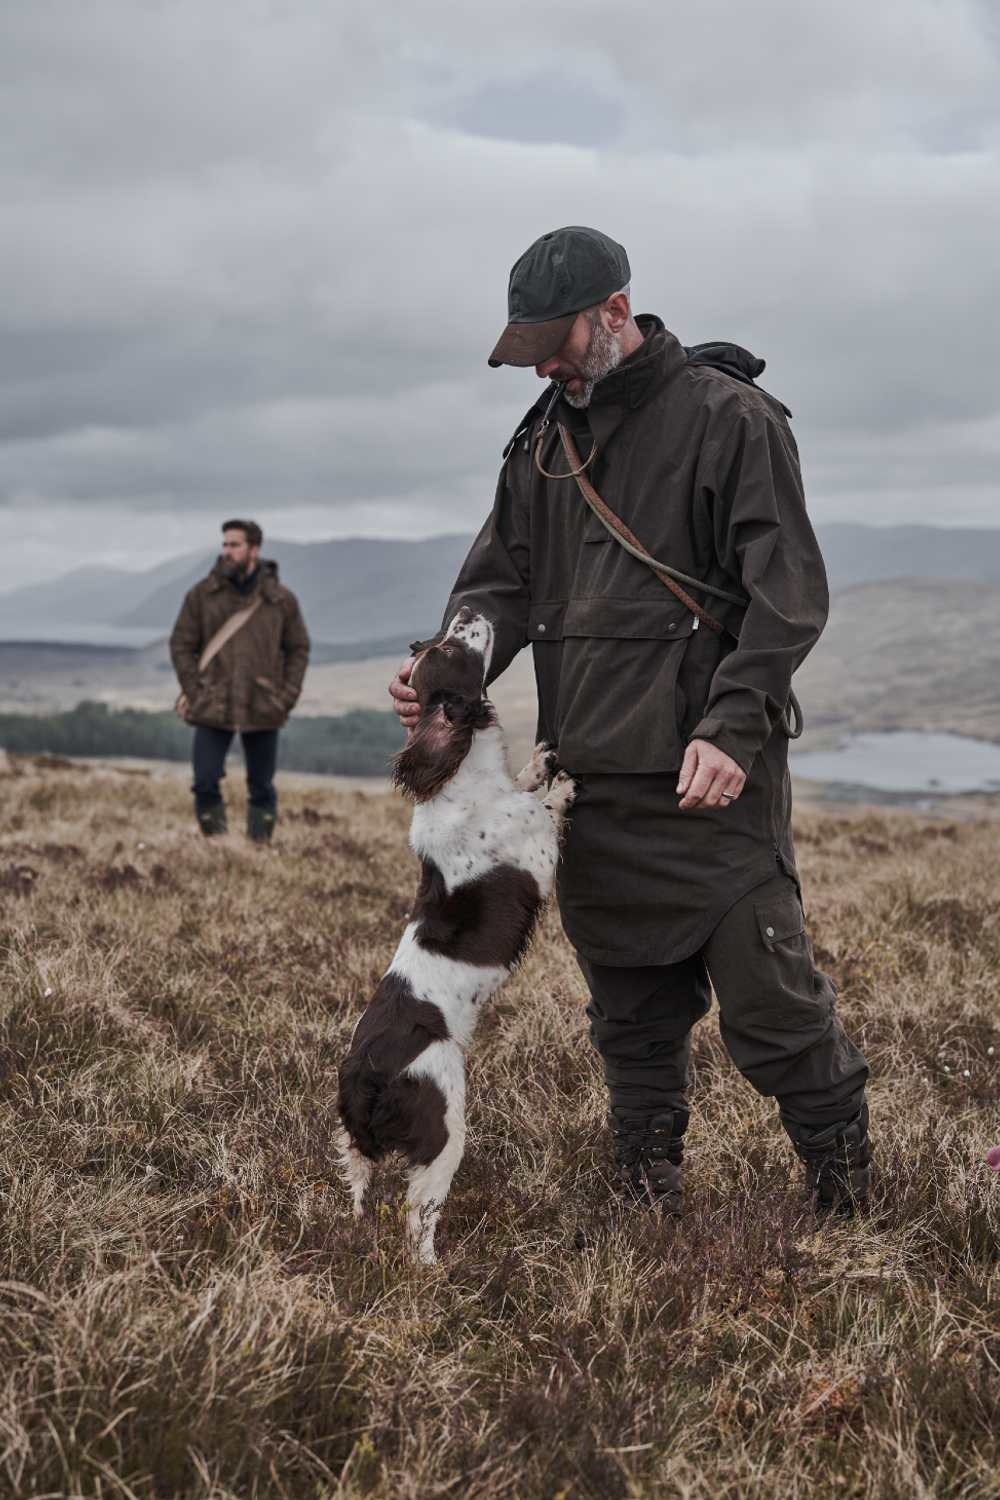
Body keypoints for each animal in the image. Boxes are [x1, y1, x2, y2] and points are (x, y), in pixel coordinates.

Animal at [338, 603, 575, 1260]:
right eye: (449, 647)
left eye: (428, 643)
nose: (468, 608)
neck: (463, 777)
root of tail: (365, 1080)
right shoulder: (535, 853)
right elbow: (545, 811)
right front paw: (563, 783)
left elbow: (526, 782)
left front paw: (541, 762)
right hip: (446, 1126)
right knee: (418, 1216)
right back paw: (432, 1268)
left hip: (355, 1149)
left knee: (359, 1187)